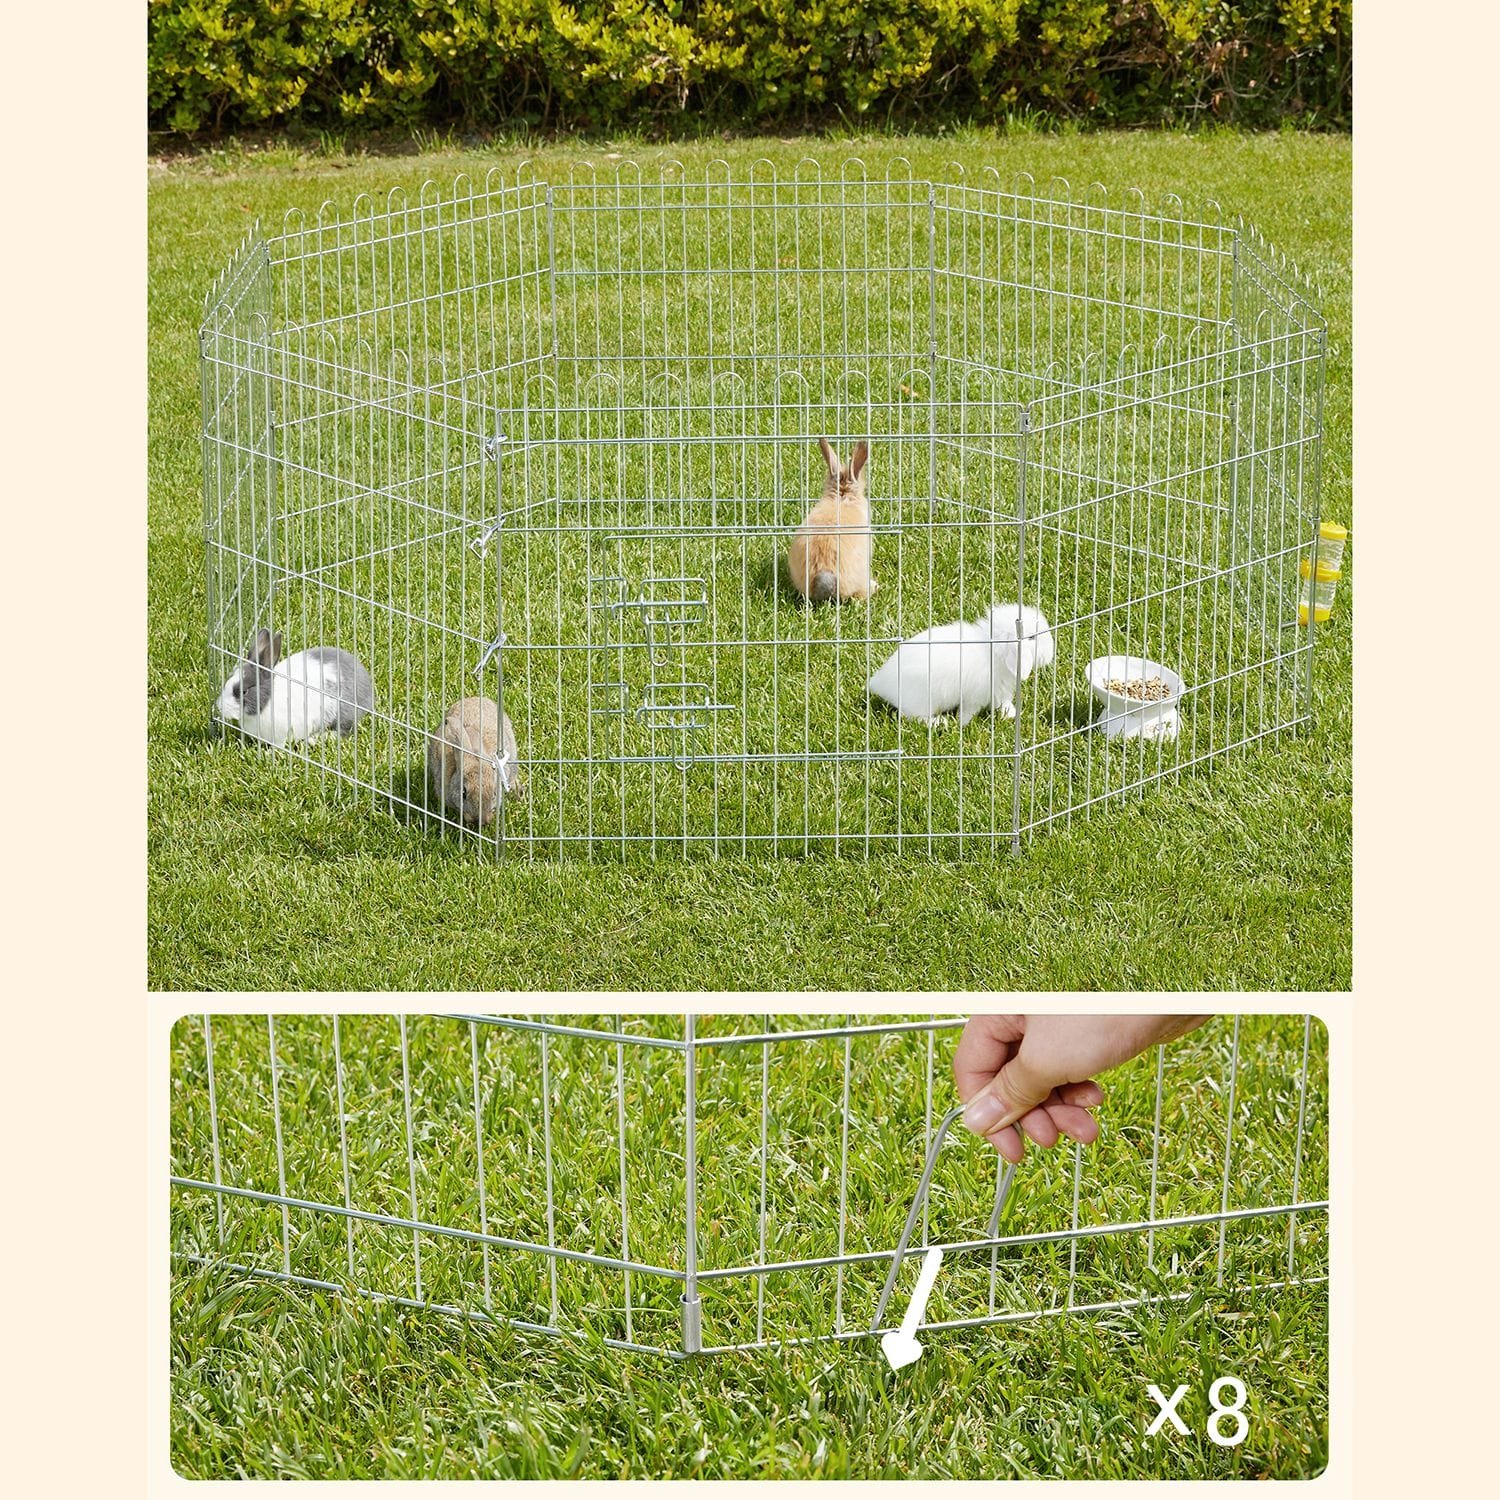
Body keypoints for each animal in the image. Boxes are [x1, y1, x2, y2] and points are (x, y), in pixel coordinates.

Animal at [215, 629, 374, 747]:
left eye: (244, 691)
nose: (220, 707)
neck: (268, 700)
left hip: (342, 712)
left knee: (343, 730)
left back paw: (315, 739)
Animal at [866, 604, 1056, 726]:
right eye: (1032, 638)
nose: (1051, 653)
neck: (993, 652)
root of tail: (878, 683)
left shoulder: (998, 692)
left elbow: (1004, 703)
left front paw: (1011, 714)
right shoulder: (975, 697)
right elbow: (968, 711)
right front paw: (962, 724)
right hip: (921, 702)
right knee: (912, 717)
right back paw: (939, 722)